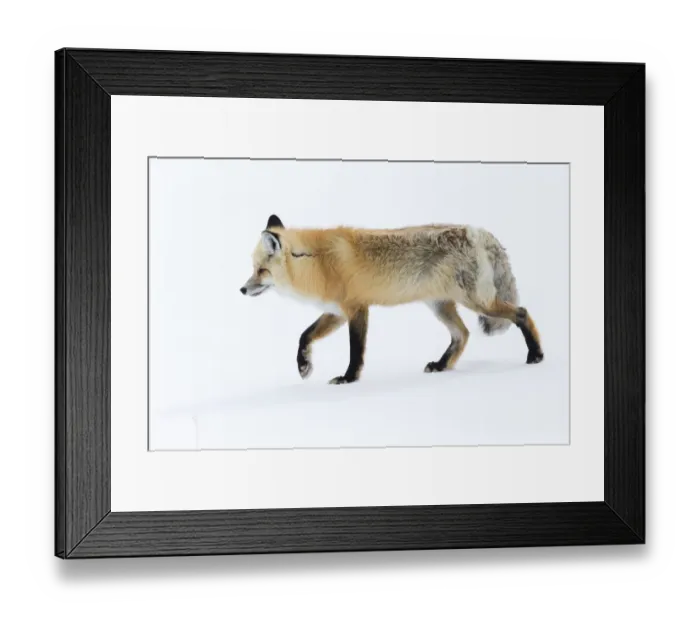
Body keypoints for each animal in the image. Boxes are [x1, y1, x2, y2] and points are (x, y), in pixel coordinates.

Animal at [241, 215, 543, 385]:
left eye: (261, 270)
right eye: (253, 268)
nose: (242, 290)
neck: (318, 262)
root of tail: (478, 231)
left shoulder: (356, 308)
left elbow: (356, 351)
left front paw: (349, 378)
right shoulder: (336, 312)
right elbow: (304, 335)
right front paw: (303, 365)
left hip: (479, 302)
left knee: (521, 312)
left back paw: (536, 355)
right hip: (441, 305)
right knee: (463, 334)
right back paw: (442, 365)